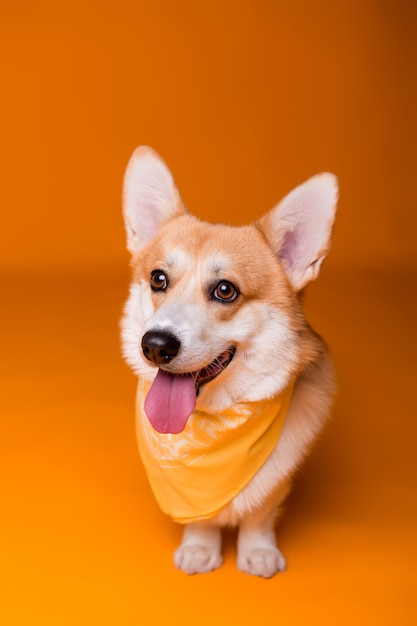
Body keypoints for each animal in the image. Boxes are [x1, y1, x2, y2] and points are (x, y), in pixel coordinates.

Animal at [121, 146, 338, 576]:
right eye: (158, 279)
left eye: (225, 290)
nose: (155, 345)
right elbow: (201, 519)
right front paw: (200, 547)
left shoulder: (276, 480)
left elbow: (259, 513)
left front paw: (258, 552)